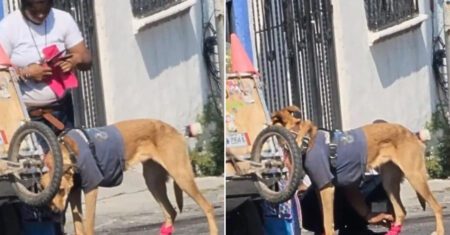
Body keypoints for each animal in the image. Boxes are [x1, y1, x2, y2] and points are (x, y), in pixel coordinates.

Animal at [39, 119, 219, 235]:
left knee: (207, 207)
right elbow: (78, 227)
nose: (55, 212)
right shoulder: (74, 193)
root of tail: (175, 130)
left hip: (181, 176)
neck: (68, 149)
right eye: (48, 195)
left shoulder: (90, 189)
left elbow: (88, 225)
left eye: (61, 190)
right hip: (153, 182)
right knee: (171, 212)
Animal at [270, 106, 442, 235]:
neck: (303, 139)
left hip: (415, 176)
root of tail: (412, 134)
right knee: (401, 212)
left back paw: (439, 231)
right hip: (389, 183)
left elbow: (328, 222)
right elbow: (325, 219)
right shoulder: (321, 187)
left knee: (436, 206)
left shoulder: (327, 188)